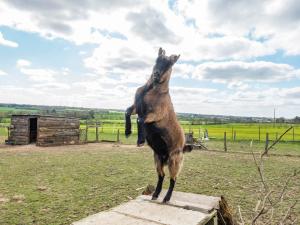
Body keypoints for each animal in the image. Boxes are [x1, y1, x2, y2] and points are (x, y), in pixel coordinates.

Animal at [124, 47, 192, 202]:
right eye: (157, 59)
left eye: (170, 64)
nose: (156, 74)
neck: (152, 90)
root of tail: (183, 146)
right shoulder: (137, 107)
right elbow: (127, 111)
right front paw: (127, 132)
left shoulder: (156, 114)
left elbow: (141, 120)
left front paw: (140, 140)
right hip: (157, 159)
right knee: (162, 175)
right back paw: (155, 194)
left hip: (174, 159)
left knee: (173, 178)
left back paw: (166, 197)